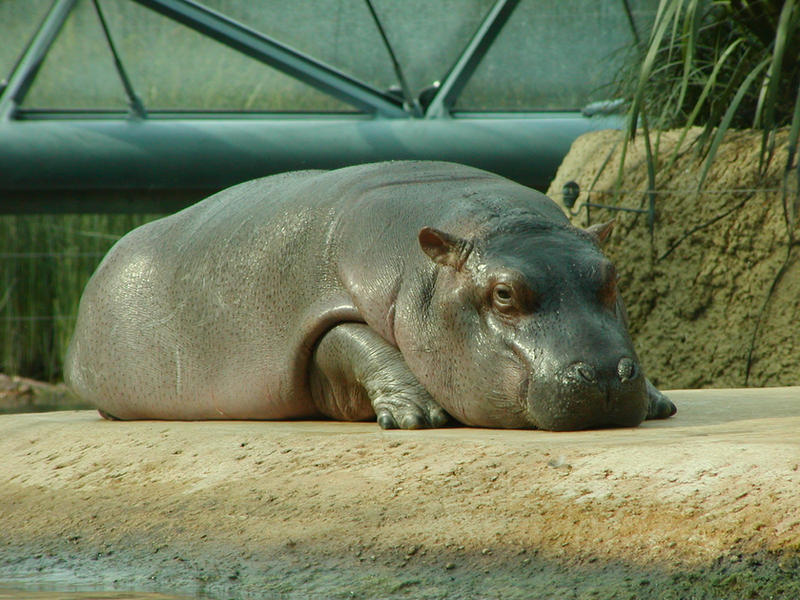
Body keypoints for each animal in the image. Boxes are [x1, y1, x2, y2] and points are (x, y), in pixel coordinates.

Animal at [65, 161, 675, 430]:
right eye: (503, 293)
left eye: (610, 275)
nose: (604, 375)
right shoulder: (323, 307)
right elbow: (353, 341)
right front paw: (416, 416)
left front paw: (658, 400)